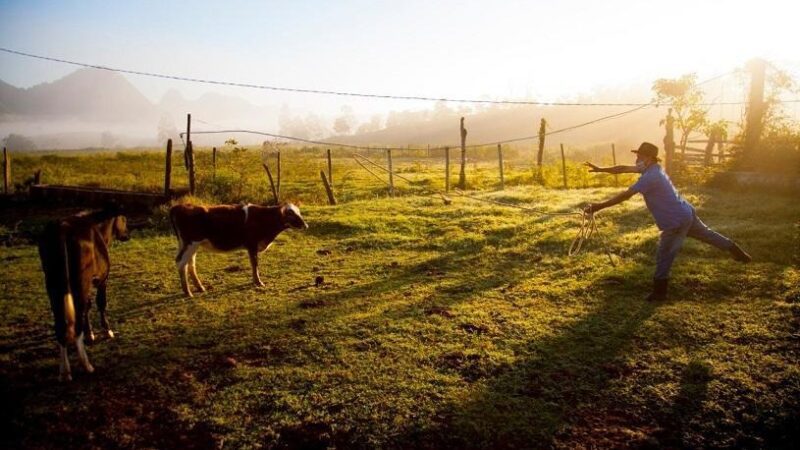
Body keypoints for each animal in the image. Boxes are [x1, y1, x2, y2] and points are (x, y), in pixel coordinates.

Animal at [38, 206, 129, 382]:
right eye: (124, 218)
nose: (127, 235)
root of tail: (62, 227)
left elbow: (88, 307)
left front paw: (90, 334)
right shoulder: (102, 279)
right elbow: (100, 303)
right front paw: (106, 330)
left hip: (53, 286)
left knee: (61, 323)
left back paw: (64, 371)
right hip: (81, 282)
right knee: (78, 316)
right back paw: (86, 365)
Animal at [169, 203, 306, 296]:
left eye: (299, 212)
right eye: (291, 214)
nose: (305, 225)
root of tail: (179, 206)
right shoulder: (252, 244)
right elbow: (255, 264)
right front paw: (258, 283)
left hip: (189, 244)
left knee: (190, 264)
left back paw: (200, 288)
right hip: (192, 243)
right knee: (181, 263)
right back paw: (188, 292)